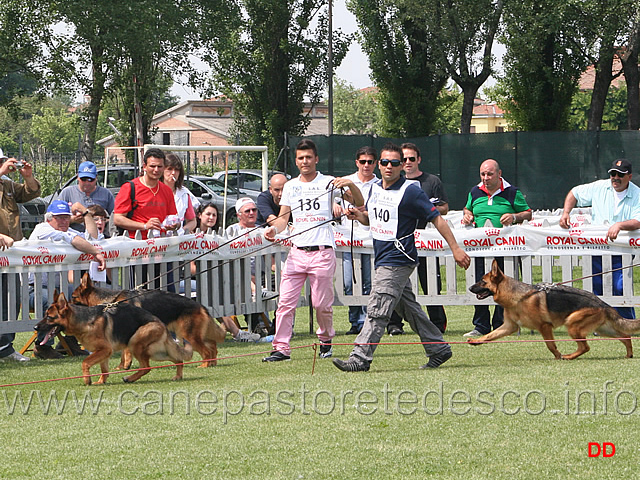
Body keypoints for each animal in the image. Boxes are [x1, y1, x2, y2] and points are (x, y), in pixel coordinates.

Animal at [34, 288, 191, 386]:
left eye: (49, 317)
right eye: (45, 315)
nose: (35, 327)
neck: (84, 321)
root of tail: (161, 324)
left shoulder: (104, 350)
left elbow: (85, 362)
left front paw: (87, 380)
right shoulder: (103, 353)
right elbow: (104, 369)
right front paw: (101, 381)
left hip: (135, 343)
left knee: (146, 367)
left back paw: (130, 378)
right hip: (156, 352)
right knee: (177, 359)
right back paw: (178, 376)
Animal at [71, 274, 226, 368]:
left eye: (73, 297)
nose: (66, 307)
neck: (112, 300)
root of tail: (200, 305)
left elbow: (125, 353)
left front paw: (125, 366)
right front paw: (122, 367)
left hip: (189, 335)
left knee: (207, 351)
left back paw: (204, 365)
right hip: (194, 334)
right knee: (213, 346)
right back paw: (212, 364)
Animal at [464, 260, 640, 358]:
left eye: (482, 281)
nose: (470, 288)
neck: (519, 297)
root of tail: (604, 304)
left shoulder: (544, 326)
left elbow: (550, 345)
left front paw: (557, 355)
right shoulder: (509, 327)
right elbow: (490, 336)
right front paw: (476, 341)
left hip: (572, 324)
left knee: (585, 347)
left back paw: (568, 357)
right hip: (603, 330)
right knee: (625, 336)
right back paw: (629, 354)